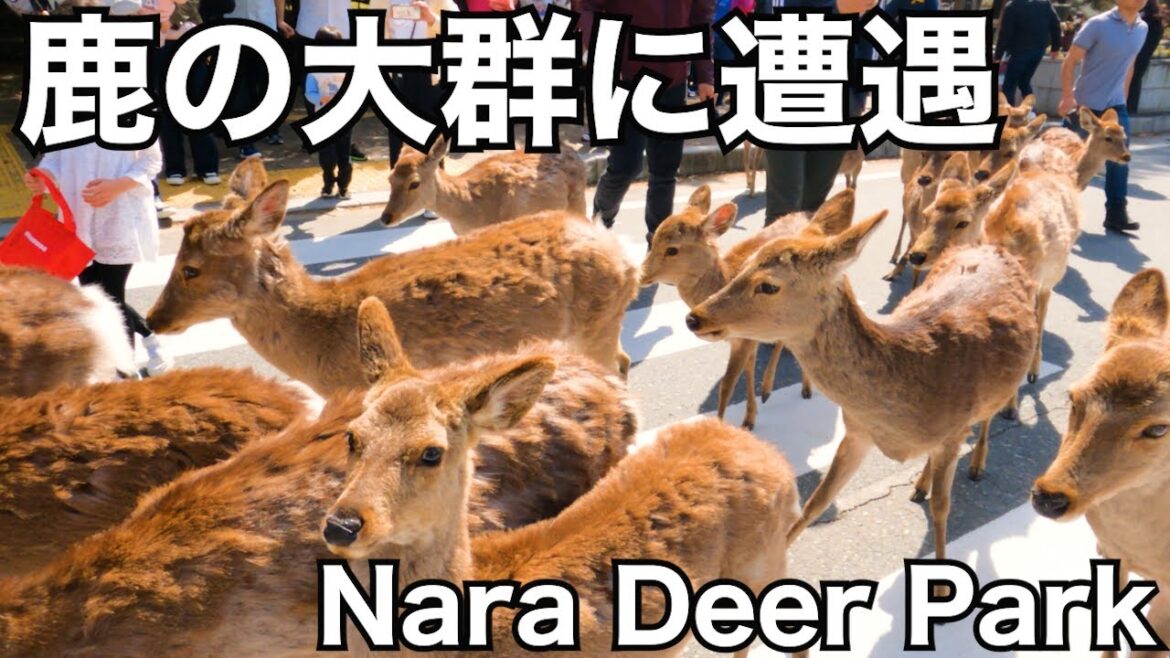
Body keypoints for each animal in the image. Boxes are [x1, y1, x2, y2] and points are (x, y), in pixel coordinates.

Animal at [640, 185, 853, 427]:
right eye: (653, 238)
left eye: (672, 249)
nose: (641, 275)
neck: (725, 278)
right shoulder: (745, 338)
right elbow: (749, 369)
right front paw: (750, 418)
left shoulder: (743, 339)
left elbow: (727, 385)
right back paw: (770, 390)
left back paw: (795, 388)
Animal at [685, 189, 1038, 564]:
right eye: (746, 262)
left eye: (768, 286)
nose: (695, 317)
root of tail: (992, 247)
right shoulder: (857, 431)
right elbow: (815, 503)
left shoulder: (952, 431)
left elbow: (942, 512)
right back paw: (920, 485)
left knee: (987, 418)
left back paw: (977, 463)